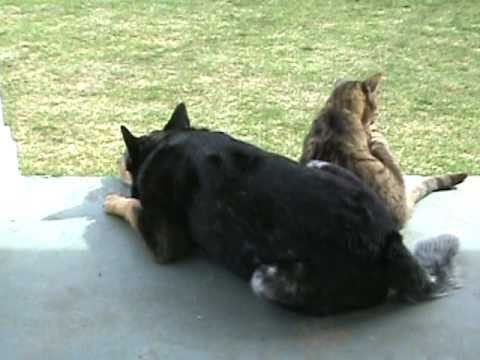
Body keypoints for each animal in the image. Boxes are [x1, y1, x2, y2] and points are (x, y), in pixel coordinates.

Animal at [104, 102, 458, 314]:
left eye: (124, 161)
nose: (119, 165)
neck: (169, 142)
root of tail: (388, 243)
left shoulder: (165, 242)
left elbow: (132, 206)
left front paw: (113, 200)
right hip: (320, 165)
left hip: (264, 277)